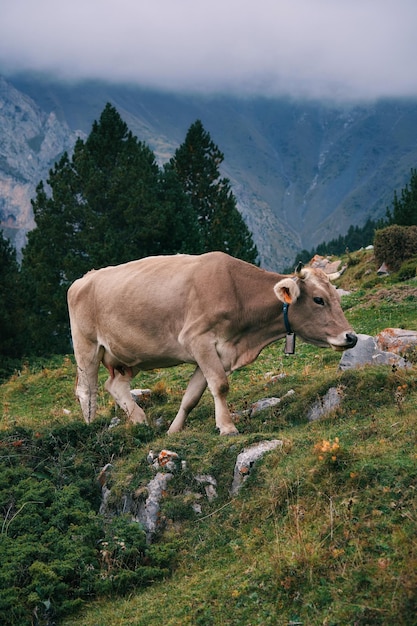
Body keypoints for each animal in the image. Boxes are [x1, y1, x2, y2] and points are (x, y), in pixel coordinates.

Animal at [66, 250, 356, 434]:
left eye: (336, 298)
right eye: (318, 299)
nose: (351, 336)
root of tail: (85, 278)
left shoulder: (217, 353)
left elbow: (192, 397)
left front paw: (174, 431)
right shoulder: (198, 340)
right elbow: (220, 385)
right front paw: (227, 427)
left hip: (127, 356)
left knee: (114, 385)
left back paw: (139, 421)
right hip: (87, 346)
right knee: (87, 390)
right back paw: (90, 427)